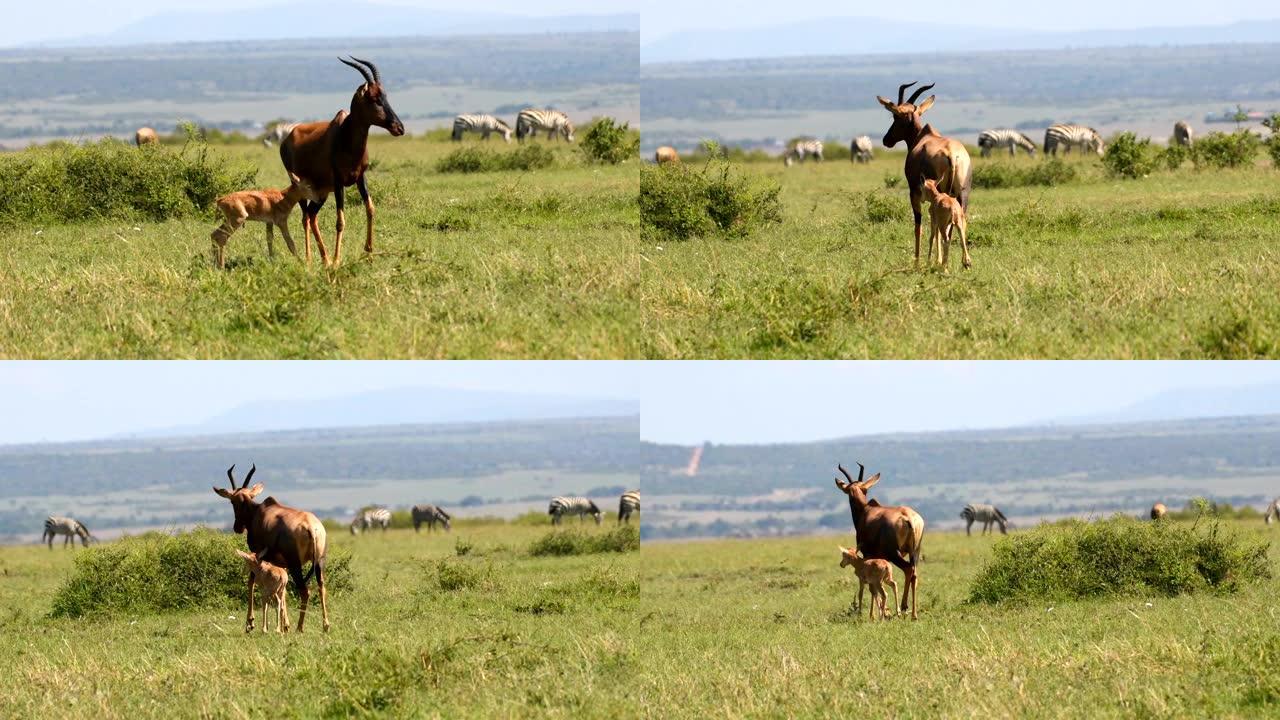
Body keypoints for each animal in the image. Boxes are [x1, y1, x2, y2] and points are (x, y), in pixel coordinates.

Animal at [213, 461, 330, 630]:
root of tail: (311, 527)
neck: (259, 512)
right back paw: (325, 625)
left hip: (296, 564)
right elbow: (283, 589)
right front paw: (285, 624)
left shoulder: (257, 555)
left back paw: (299, 628)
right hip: (319, 562)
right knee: (321, 587)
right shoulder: (282, 563)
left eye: (232, 501)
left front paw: (250, 623)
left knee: (305, 591)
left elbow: (251, 582)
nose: (237, 527)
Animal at [280, 56, 404, 266]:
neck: (344, 135)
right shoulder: (338, 182)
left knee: (312, 215)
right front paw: (338, 260)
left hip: (321, 192)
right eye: (374, 98)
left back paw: (325, 258)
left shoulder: (360, 178)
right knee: (305, 217)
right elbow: (340, 221)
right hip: (300, 186)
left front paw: (369, 253)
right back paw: (310, 258)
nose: (399, 128)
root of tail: (287, 138)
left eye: (385, 96)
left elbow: (370, 208)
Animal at [834, 461, 926, 620]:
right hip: (915, 551)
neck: (866, 510)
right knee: (914, 574)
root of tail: (908, 517)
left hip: (895, 554)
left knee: (908, 570)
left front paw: (878, 613)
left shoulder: (868, 554)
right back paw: (914, 614)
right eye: (864, 490)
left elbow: (873, 588)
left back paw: (904, 607)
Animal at [875, 81, 972, 266]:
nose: (886, 140)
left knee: (943, 229)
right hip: (962, 194)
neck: (924, 136)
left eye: (895, 117)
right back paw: (964, 262)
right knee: (960, 221)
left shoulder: (914, 193)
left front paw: (918, 261)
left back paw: (943, 261)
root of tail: (952, 154)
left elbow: (918, 227)